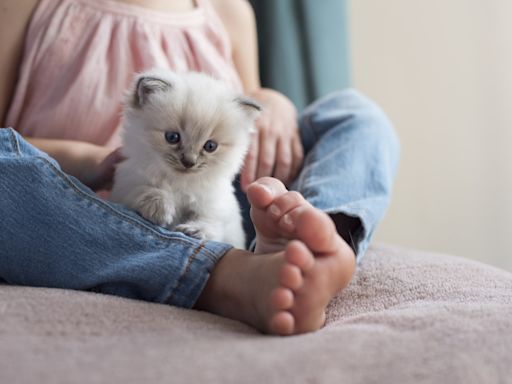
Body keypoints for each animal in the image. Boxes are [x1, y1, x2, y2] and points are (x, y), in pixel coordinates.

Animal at [109, 69, 260, 249]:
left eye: (210, 146)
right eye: (172, 137)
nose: (189, 162)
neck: (180, 184)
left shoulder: (215, 207)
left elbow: (211, 222)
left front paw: (194, 230)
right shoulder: (126, 186)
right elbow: (147, 190)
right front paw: (160, 211)